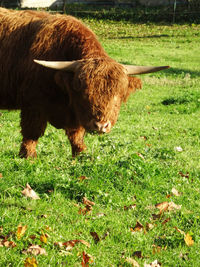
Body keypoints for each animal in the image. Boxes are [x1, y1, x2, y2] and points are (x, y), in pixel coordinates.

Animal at [0, 7, 169, 159]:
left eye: (117, 96)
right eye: (84, 94)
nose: (101, 126)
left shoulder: (75, 116)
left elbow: (76, 135)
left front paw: (80, 154)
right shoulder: (33, 104)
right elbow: (32, 132)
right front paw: (28, 155)